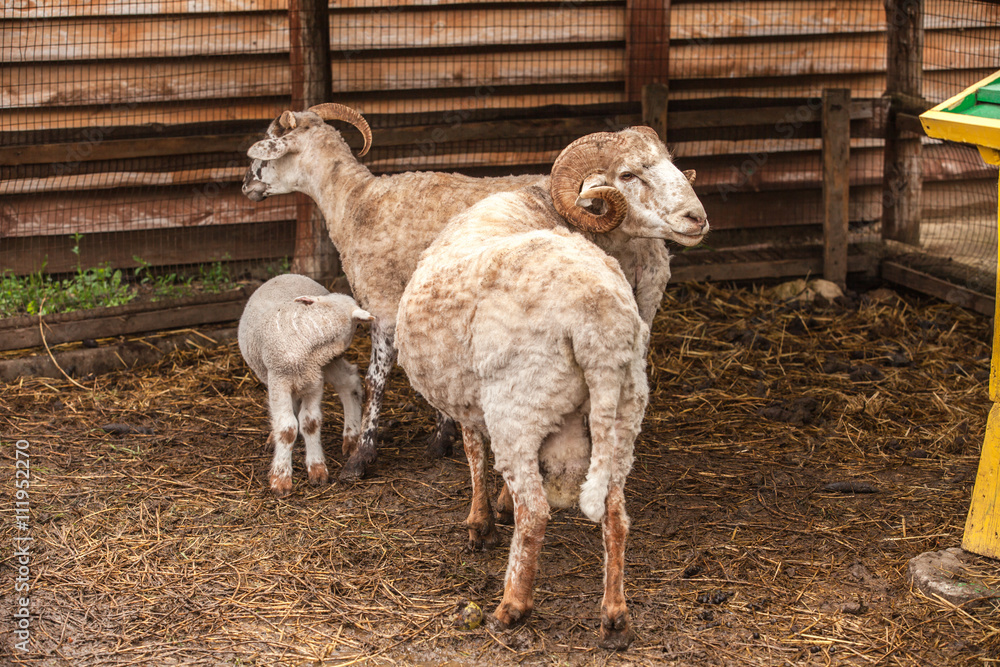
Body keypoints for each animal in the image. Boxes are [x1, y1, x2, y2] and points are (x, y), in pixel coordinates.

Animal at [238, 273, 373, 496]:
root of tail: (285, 275)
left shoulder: (314, 381)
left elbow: (311, 423)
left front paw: (317, 469)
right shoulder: (280, 381)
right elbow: (287, 428)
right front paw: (281, 478)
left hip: (324, 367)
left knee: (349, 382)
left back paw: (351, 438)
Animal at [395, 189, 652, 649]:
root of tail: (599, 325)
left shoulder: (472, 397)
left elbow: (474, 453)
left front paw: (480, 525)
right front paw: (496, 509)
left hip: (517, 404)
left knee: (534, 512)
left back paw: (511, 607)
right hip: (624, 412)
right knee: (615, 515)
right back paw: (615, 618)